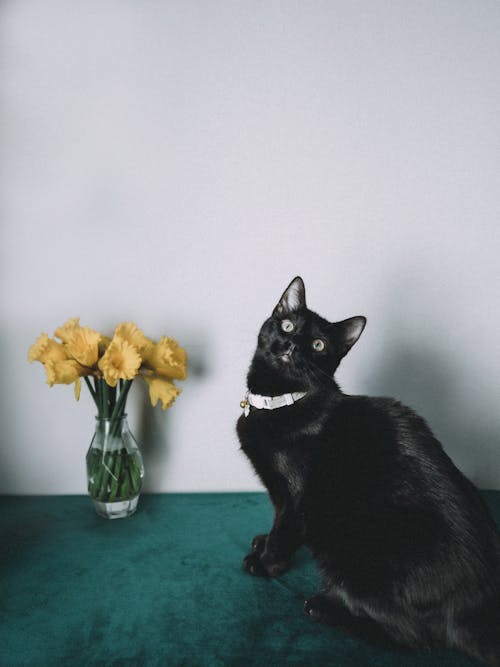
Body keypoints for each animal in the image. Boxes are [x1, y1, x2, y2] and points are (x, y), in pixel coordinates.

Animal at [237, 276, 500, 667]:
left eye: (318, 345)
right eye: (287, 325)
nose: (291, 345)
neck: (281, 402)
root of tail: (474, 605)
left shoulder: (297, 497)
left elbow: (284, 528)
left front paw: (267, 563)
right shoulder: (280, 494)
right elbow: (276, 523)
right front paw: (263, 542)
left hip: (349, 553)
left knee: (414, 636)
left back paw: (324, 608)